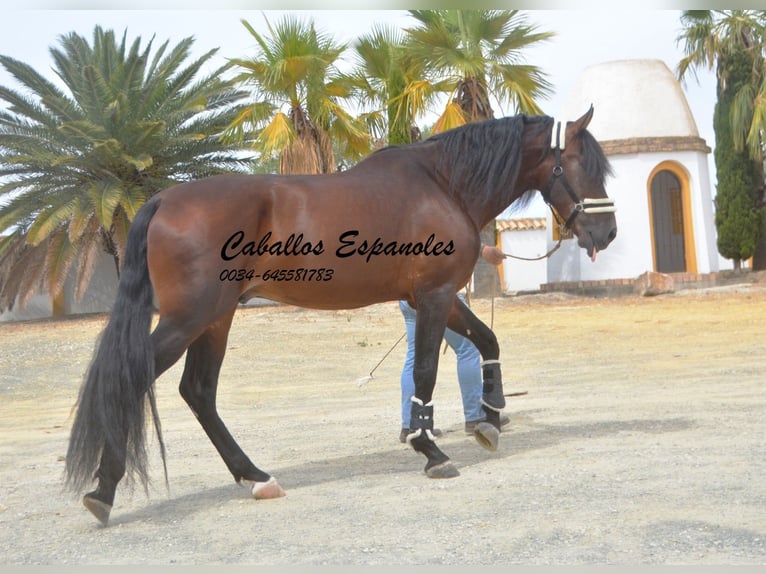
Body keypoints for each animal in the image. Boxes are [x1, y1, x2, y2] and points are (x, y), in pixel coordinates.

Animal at [64, 104, 616, 528]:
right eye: (580, 164)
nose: (606, 234)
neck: (443, 183)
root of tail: (162, 199)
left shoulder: (436, 298)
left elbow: (487, 341)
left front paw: (492, 416)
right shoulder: (435, 297)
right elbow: (427, 371)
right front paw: (431, 452)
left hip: (215, 320)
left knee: (198, 392)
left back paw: (256, 478)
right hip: (189, 320)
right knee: (137, 380)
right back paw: (104, 491)